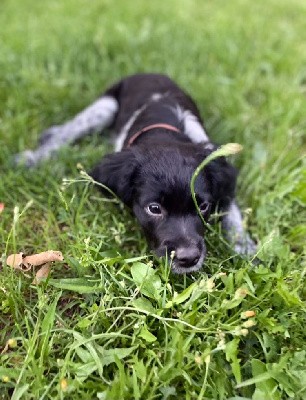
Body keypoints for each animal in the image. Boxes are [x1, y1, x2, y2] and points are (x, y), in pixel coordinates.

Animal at [16, 73, 256, 274]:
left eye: (203, 206)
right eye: (154, 209)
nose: (189, 259)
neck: (163, 128)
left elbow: (233, 214)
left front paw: (245, 248)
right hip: (105, 106)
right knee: (67, 132)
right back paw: (35, 156)